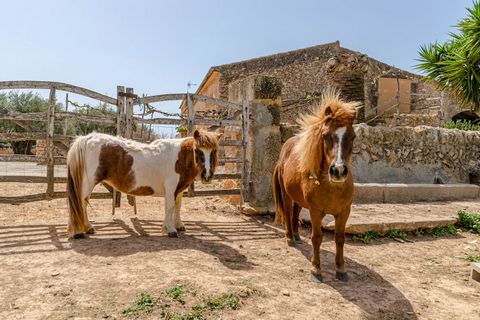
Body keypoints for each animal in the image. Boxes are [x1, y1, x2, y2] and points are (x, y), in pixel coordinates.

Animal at [66, 129, 222, 239]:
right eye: (197, 150)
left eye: (214, 151)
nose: (207, 175)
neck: (179, 157)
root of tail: (86, 139)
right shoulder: (171, 189)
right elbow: (170, 207)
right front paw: (170, 230)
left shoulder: (179, 190)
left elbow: (177, 207)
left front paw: (178, 225)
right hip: (87, 184)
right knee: (79, 203)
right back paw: (78, 232)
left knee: (82, 204)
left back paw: (88, 228)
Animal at [272, 90, 358, 282]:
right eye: (325, 136)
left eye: (353, 136)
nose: (338, 170)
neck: (332, 188)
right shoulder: (315, 211)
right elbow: (317, 237)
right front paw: (316, 269)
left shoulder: (344, 212)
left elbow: (340, 238)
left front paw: (341, 269)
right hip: (286, 195)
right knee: (288, 212)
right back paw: (290, 237)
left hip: (298, 198)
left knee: (295, 212)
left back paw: (297, 235)